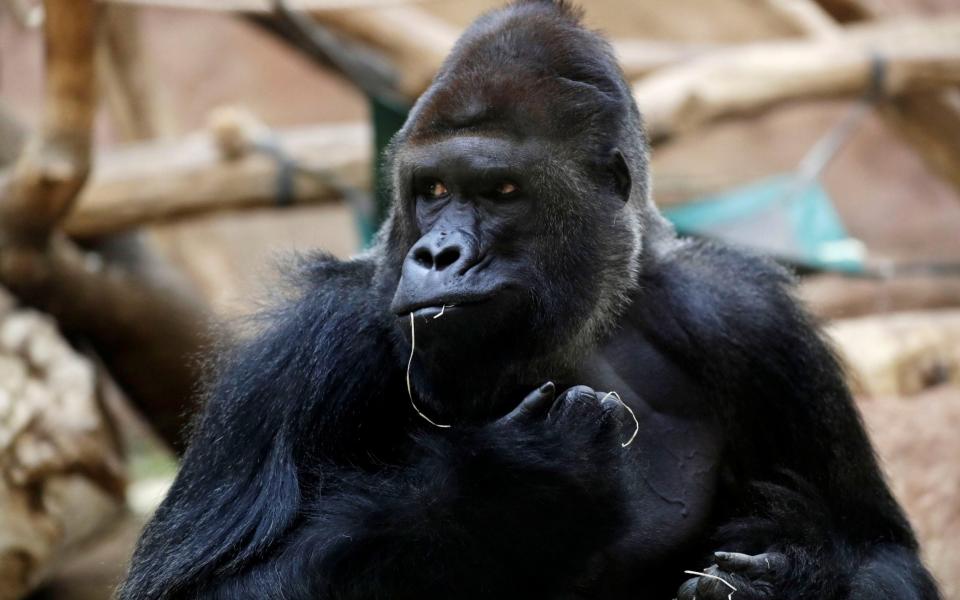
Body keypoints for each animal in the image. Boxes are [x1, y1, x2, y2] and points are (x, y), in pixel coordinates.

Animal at [118, 1, 936, 600]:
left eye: (501, 191)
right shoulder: (302, 351)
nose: (437, 256)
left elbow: (881, 554)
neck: (584, 321)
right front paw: (510, 487)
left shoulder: (751, 319)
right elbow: (200, 591)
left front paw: (794, 578)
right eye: (432, 189)